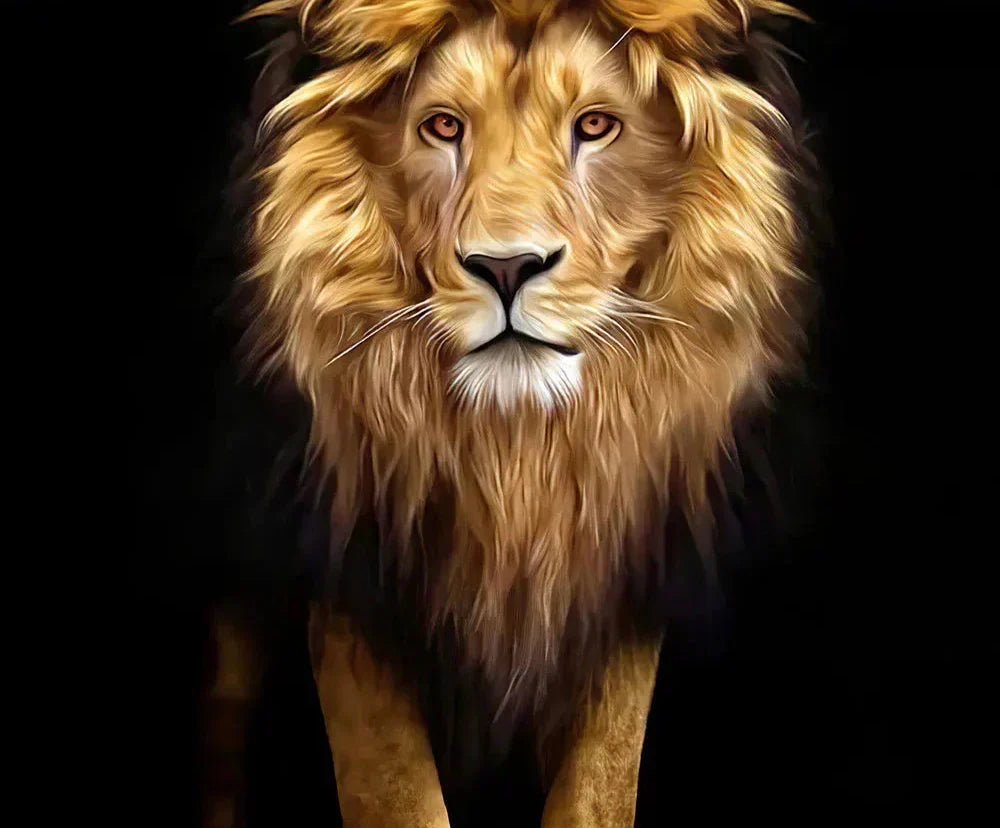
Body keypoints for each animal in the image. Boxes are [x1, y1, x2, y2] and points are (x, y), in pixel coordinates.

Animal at [201, 1, 813, 825]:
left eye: (595, 125)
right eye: (443, 127)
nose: (507, 267)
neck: (515, 456)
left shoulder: (621, 567)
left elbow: (600, 784)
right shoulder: (350, 571)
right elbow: (393, 786)